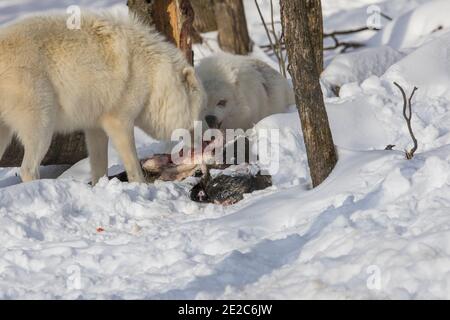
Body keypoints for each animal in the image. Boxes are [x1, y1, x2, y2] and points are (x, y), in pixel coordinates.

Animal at [0, 12, 207, 184]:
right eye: (201, 113)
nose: (206, 139)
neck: (153, 76)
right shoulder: (118, 122)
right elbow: (133, 165)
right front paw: (140, 186)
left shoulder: (95, 127)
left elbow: (99, 167)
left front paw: (98, 186)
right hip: (42, 127)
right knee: (27, 169)